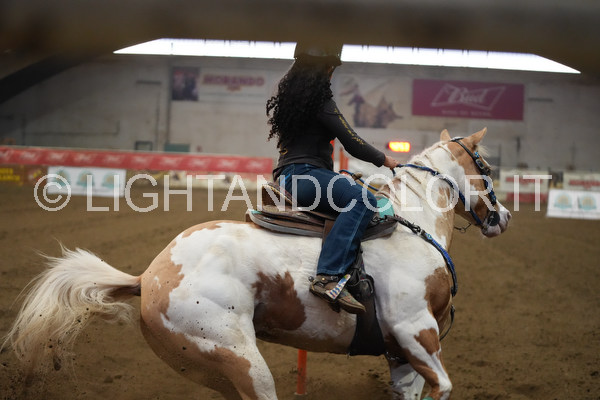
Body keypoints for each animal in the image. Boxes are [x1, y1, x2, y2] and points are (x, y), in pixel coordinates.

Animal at [3, 128, 511, 400]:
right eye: (486, 166)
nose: (503, 217)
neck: (414, 225)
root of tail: (148, 276)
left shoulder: (400, 352)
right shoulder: (414, 331)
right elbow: (443, 385)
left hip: (220, 368)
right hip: (239, 356)